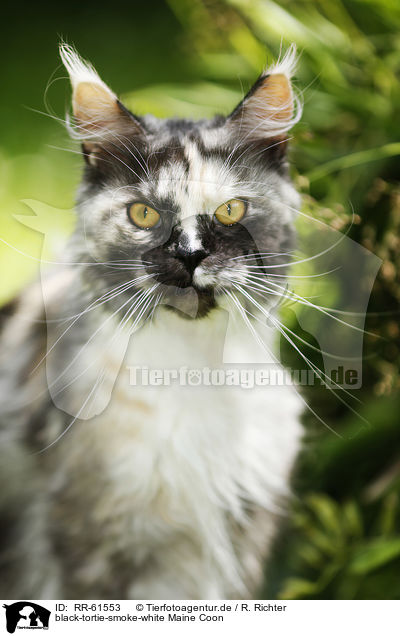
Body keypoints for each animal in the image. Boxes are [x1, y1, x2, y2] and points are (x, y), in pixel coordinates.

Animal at [0, 46, 304, 600]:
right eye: (143, 215)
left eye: (231, 211)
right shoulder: (89, 545)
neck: (198, 372)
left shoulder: (241, 547)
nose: (190, 256)